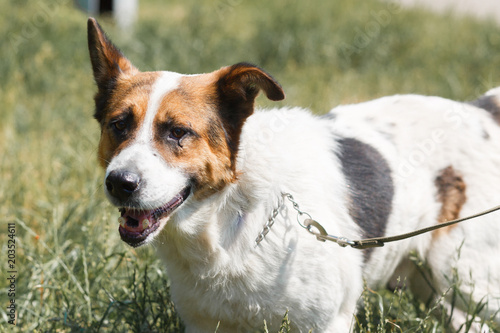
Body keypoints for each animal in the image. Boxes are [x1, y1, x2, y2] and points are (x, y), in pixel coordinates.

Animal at [88, 18, 498, 332]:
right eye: (119, 125)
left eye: (177, 132)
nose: (120, 184)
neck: (231, 214)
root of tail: (480, 110)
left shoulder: (327, 322)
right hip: (439, 289)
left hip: (466, 277)